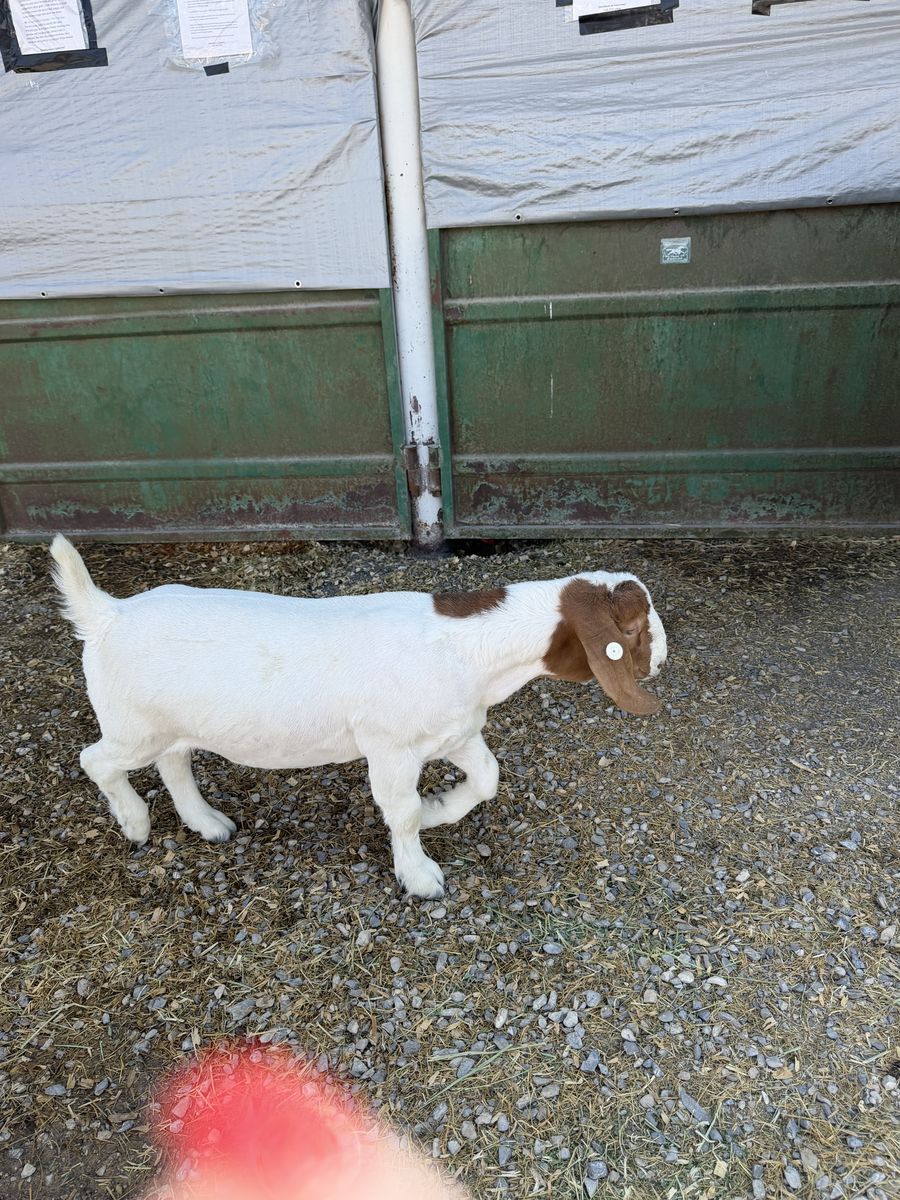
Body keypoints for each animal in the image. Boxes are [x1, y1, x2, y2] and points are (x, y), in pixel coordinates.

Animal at [50, 536, 667, 898]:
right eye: (636, 627)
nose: (662, 658)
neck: (466, 648)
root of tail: (106, 614)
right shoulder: (391, 747)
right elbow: (402, 812)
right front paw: (420, 876)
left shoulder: (453, 731)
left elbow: (487, 778)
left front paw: (441, 808)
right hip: (132, 726)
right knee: (96, 759)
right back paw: (134, 822)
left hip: (170, 725)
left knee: (175, 763)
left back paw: (207, 823)